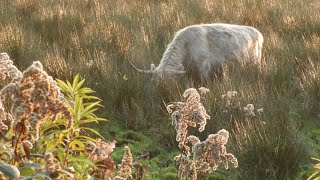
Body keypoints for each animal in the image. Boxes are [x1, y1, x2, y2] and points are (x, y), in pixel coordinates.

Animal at [129, 22, 264, 83]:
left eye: (169, 81)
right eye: (155, 82)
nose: (163, 91)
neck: (186, 45)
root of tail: (258, 32)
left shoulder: (204, 64)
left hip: (255, 59)